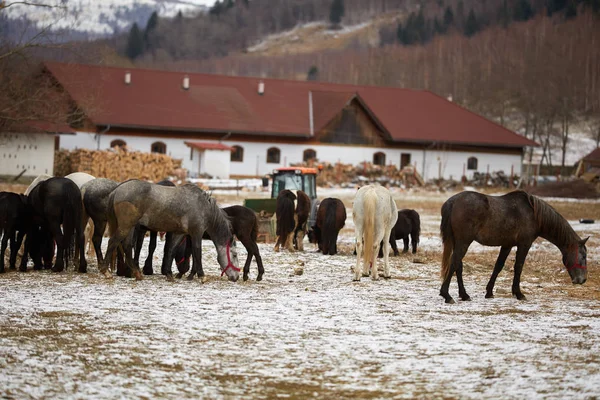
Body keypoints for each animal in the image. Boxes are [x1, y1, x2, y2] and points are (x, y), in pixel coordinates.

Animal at [101, 180, 239, 282]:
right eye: (235, 255)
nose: (236, 277)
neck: (202, 206)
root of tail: (117, 190)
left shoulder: (180, 233)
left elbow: (171, 250)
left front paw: (168, 273)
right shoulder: (196, 233)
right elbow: (197, 252)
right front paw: (201, 276)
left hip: (130, 227)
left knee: (127, 246)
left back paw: (137, 274)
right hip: (126, 226)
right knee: (112, 242)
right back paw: (106, 272)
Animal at [438, 191, 588, 304]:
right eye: (583, 256)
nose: (583, 280)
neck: (533, 213)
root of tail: (453, 201)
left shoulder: (507, 245)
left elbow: (498, 266)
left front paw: (489, 292)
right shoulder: (524, 244)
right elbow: (518, 267)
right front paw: (519, 293)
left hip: (458, 242)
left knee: (458, 265)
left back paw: (464, 295)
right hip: (464, 242)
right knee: (454, 263)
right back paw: (446, 295)